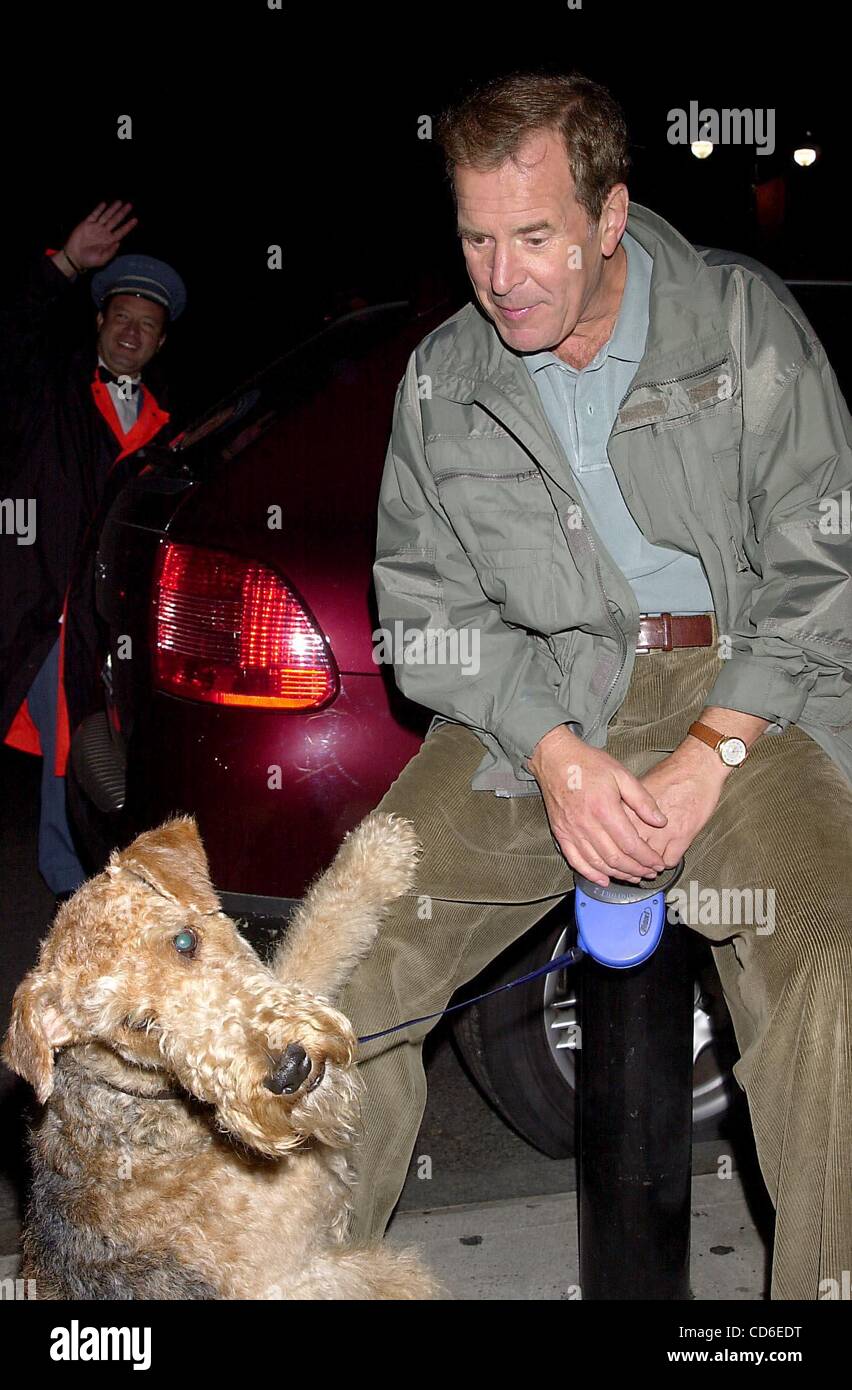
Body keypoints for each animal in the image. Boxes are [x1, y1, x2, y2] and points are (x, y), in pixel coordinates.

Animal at [1, 811, 439, 1295]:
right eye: (136, 1023)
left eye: (185, 941)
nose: (289, 1071)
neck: (144, 1103)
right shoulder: (297, 1277)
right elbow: (406, 1279)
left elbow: (314, 939)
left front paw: (380, 850)